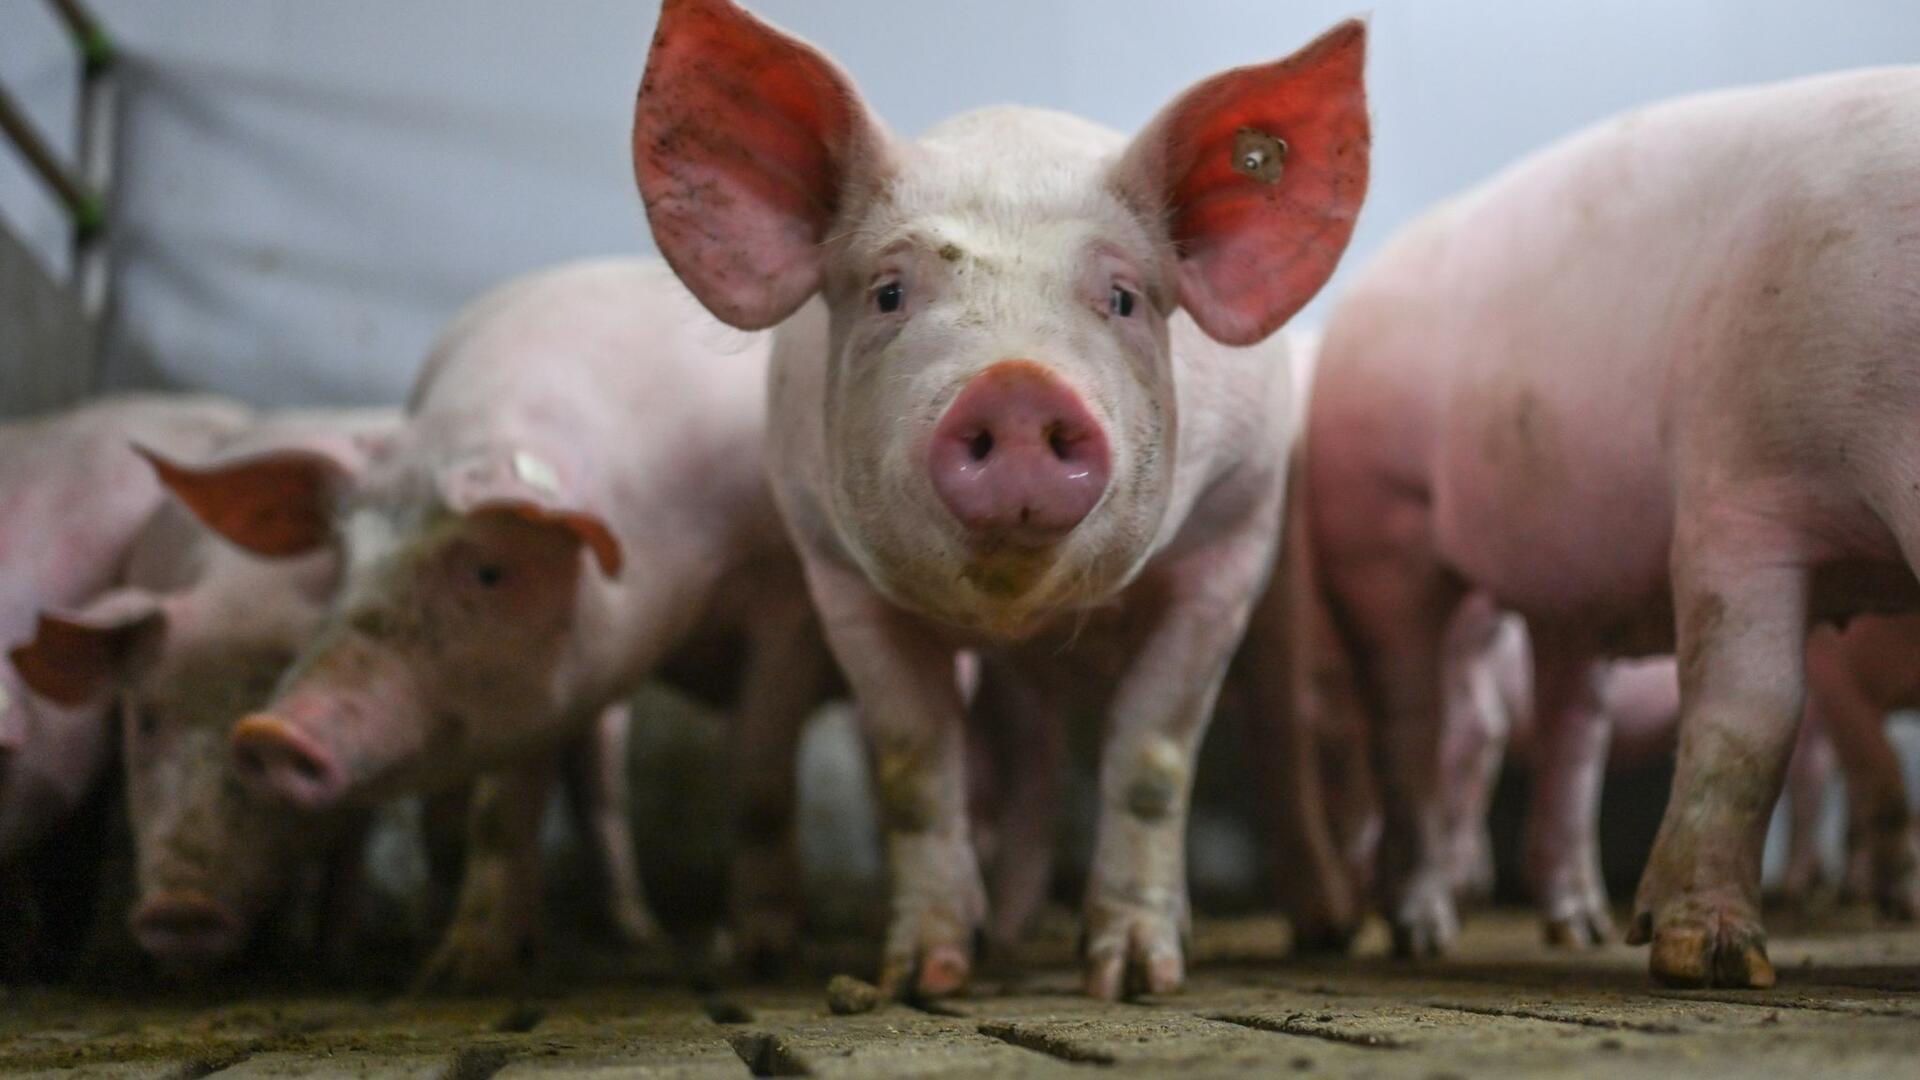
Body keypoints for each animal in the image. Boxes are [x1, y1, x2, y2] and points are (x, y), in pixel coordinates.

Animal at [9, 407, 401, 972]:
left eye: (259, 724)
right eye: (147, 721)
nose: (182, 907)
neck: (243, 590)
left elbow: (346, 857)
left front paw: (327, 961)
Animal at [155, 259, 833, 983]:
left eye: (489, 572)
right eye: (343, 554)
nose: (269, 732)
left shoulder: (787, 601)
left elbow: (761, 784)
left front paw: (758, 955)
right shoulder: (543, 687)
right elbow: (501, 811)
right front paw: (461, 969)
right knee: (594, 796)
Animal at [629, 0, 1367, 999]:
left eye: (1123, 298)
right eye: (888, 291)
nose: (1017, 385)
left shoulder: (1231, 537)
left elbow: (1153, 757)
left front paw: (1133, 979)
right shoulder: (832, 571)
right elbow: (914, 766)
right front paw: (922, 976)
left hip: (1282, 566)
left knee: (1280, 727)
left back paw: (1325, 927)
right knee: (1030, 757)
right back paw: (1008, 937)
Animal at [1313, 62, 1920, 980]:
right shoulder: (1732, 490)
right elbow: (1751, 713)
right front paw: (1711, 961)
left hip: (1566, 586)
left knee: (1570, 730)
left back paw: (1578, 929)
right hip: (1380, 524)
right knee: (1413, 721)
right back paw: (1422, 934)